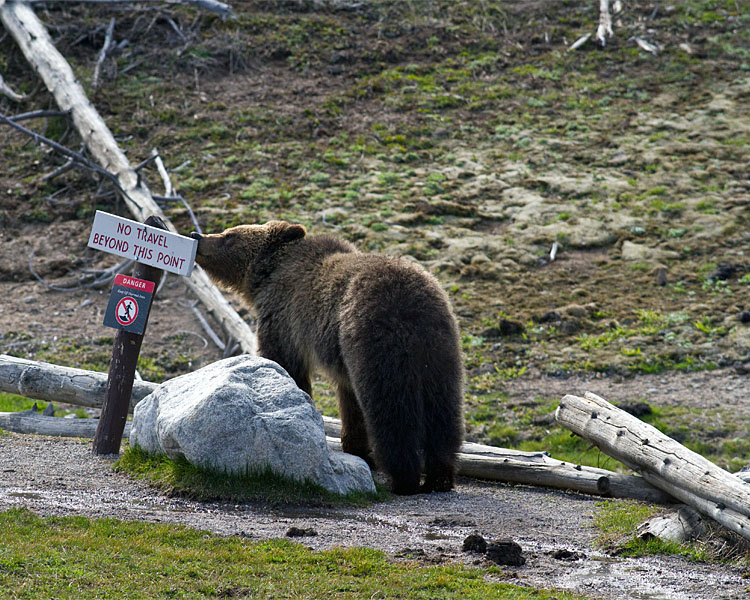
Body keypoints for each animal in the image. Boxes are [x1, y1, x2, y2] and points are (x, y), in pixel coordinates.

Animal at [189, 223, 464, 494]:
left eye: (229, 235)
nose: (197, 235)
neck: (270, 274)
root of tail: (411, 306)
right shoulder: (343, 363)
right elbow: (351, 403)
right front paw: (356, 449)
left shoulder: (285, 319)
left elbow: (285, 365)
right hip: (439, 349)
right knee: (443, 412)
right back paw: (440, 476)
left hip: (374, 339)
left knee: (390, 408)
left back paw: (403, 478)